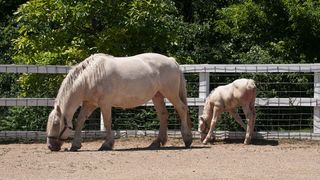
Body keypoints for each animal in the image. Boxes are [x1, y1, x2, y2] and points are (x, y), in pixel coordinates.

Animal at [47, 52, 192, 151]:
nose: (50, 146)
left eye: (56, 123)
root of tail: (172, 61)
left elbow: (107, 122)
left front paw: (107, 144)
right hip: (157, 96)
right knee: (163, 115)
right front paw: (75, 145)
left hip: (170, 93)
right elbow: (80, 121)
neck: (90, 77)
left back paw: (187, 140)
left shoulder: (105, 103)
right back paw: (156, 142)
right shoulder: (90, 103)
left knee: (182, 109)